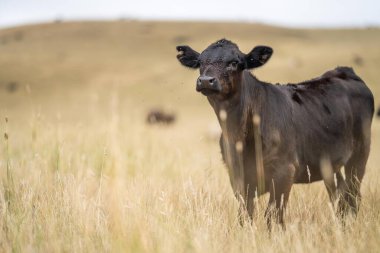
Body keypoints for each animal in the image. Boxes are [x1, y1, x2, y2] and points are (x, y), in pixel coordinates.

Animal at [175, 38, 374, 228]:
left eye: (234, 62)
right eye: (200, 62)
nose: (206, 80)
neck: (239, 135)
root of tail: (344, 71)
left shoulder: (284, 172)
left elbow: (273, 216)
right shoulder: (238, 177)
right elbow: (245, 216)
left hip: (359, 155)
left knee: (353, 195)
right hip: (330, 164)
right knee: (339, 195)